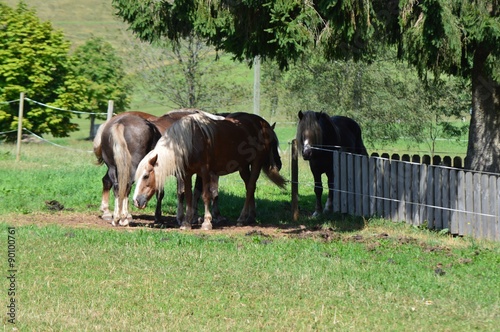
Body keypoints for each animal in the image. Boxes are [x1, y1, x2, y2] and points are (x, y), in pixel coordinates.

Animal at [134, 111, 286, 231]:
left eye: (146, 176)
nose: (136, 201)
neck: (190, 141)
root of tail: (263, 123)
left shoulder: (205, 172)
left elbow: (206, 196)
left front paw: (207, 222)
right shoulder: (187, 174)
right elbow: (188, 196)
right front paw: (187, 222)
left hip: (256, 163)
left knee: (250, 188)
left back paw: (242, 218)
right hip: (243, 166)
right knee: (250, 187)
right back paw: (251, 217)